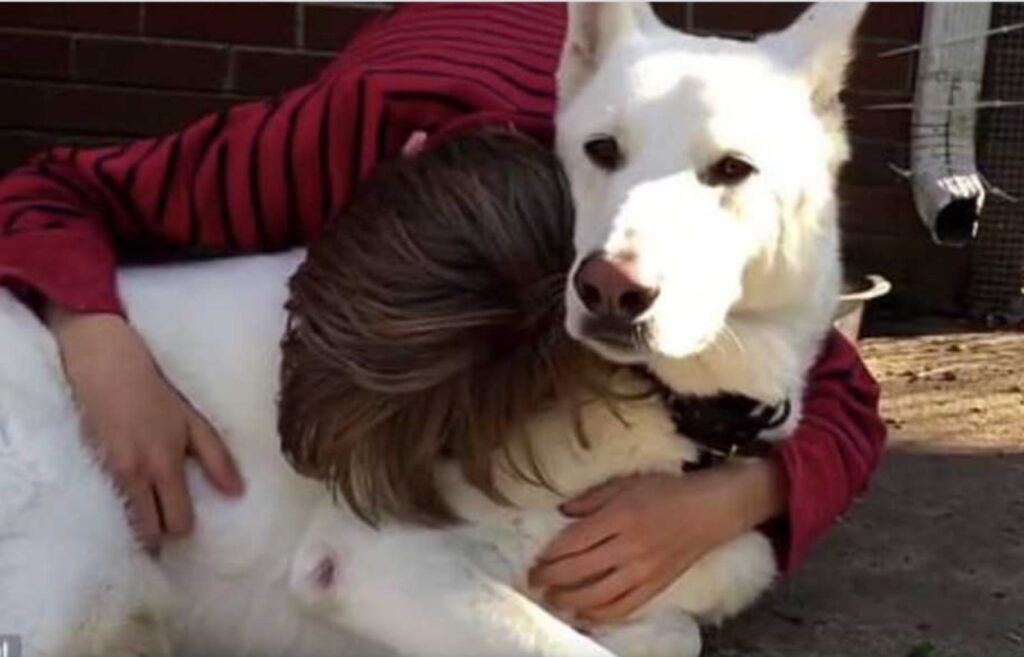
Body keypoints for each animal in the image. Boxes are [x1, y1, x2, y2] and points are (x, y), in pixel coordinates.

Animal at [0, 5, 864, 654]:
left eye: (732, 169)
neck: (665, 408)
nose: (609, 290)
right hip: (83, 571)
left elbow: (669, 632)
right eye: (601, 149)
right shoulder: (373, 562)